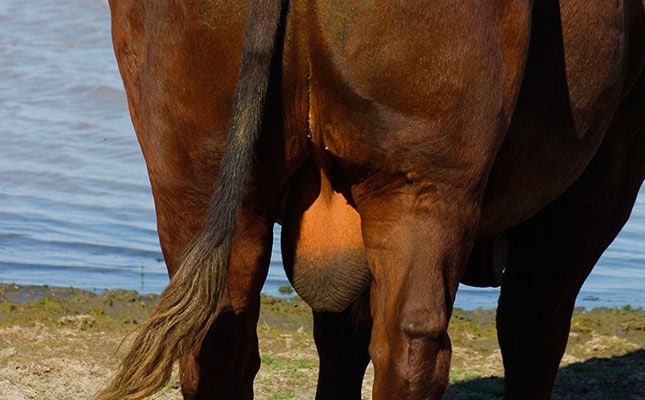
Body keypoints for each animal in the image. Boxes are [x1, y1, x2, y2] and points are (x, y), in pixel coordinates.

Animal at [97, 0, 644, 400]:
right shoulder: (608, 166)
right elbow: (533, 326)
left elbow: (340, 335)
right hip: (422, 185)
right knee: (411, 344)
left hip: (194, 177)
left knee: (219, 340)